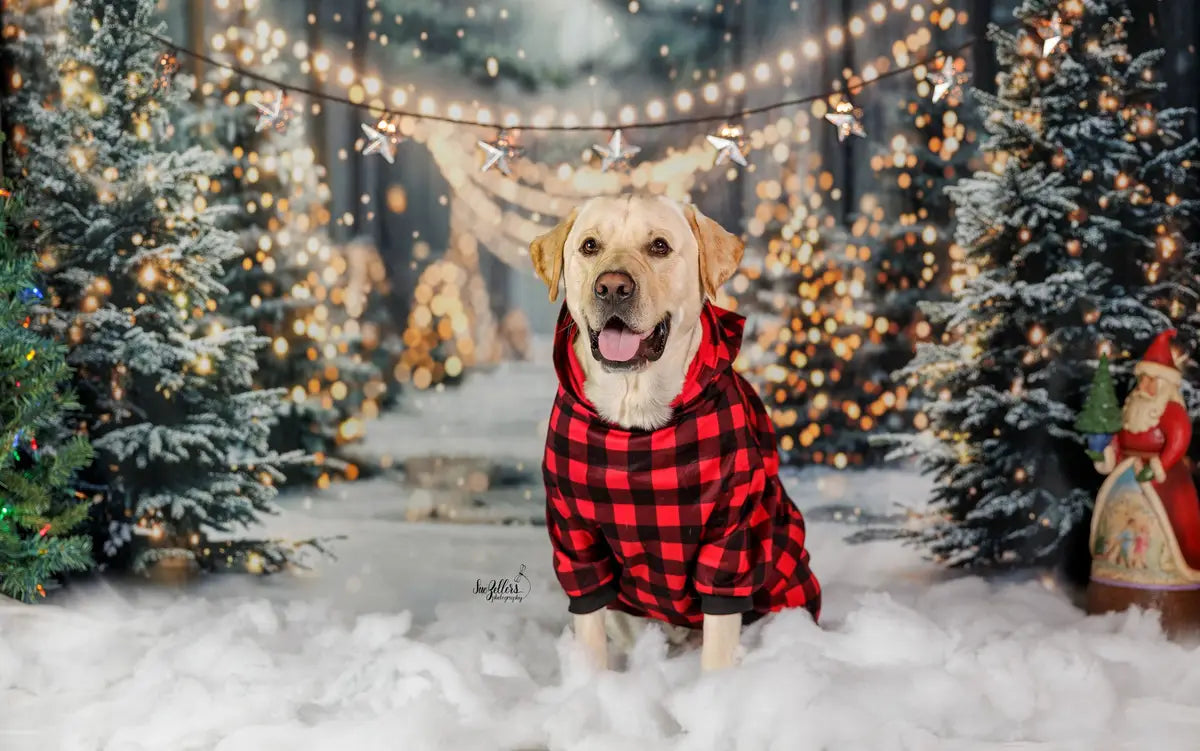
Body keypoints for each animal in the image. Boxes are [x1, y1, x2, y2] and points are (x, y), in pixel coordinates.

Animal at [530, 193, 820, 667]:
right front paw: (589, 683)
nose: (612, 287)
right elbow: (589, 622)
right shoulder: (574, 533)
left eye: (659, 247)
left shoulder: (730, 532)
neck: (635, 419)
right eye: (590, 246)